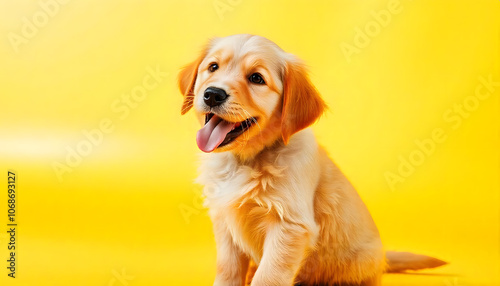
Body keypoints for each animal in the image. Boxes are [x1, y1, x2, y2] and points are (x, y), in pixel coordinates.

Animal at [179, 34, 446, 286]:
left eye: (256, 78)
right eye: (213, 67)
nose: (213, 94)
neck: (246, 159)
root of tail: (383, 260)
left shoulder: (289, 225)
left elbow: (268, 276)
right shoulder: (225, 222)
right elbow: (228, 268)